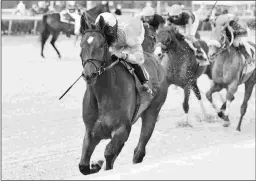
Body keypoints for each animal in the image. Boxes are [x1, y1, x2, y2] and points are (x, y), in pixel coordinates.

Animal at [78, 15, 168, 175]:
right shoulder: (91, 132)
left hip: (152, 112)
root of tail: (157, 63)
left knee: (139, 150)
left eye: (102, 45)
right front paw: (95, 165)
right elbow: (83, 166)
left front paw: (100, 163)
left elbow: (108, 153)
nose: (89, 75)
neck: (104, 95)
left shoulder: (122, 129)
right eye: (82, 45)